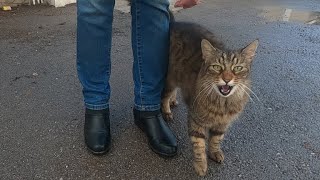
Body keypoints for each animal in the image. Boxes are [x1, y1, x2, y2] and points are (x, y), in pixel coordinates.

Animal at [161, 21, 258, 176]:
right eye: (217, 67)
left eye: (237, 68)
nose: (227, 79)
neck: (222, 103)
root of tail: (175, 23)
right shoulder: (196, 121)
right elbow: (199, 146)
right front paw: (201, 165)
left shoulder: (222, 124)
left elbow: (215, 140)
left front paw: (214, 152)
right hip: (170, 79)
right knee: (165, 95)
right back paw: (166, 110)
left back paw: (173, 100)